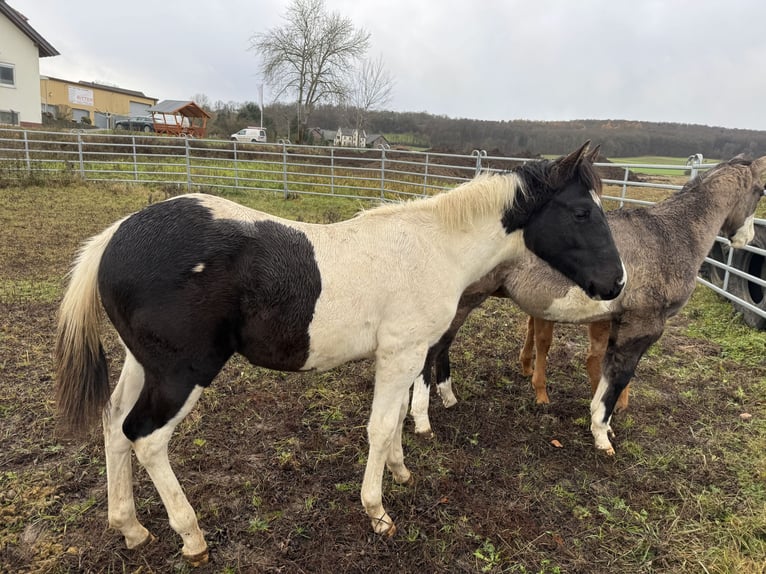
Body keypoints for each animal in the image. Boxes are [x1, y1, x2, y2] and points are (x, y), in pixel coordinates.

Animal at [54, 142, 625, 564]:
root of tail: (115, 235)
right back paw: (191, 537)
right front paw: (377, 512)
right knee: (145, 438)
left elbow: (396, 420)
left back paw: (131, 528)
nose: (617, 283)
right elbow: (379, 426)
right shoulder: (400, 354)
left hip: (144, 365)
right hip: (182, 373)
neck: (435, 247)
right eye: (580, 211)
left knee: (113, 424)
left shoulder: (407, 356)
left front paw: (400, 471)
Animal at [410, 155, 766, 455]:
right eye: (760, 192)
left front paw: (602, 424)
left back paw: (448, 398)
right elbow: (618, 377)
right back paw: (423, 418)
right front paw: (601, 434)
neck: (670, 235)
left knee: (443, 346)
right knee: (433, 348)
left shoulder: (616, 322)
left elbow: (605, 371)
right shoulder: (643, 326)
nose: (747, 239)